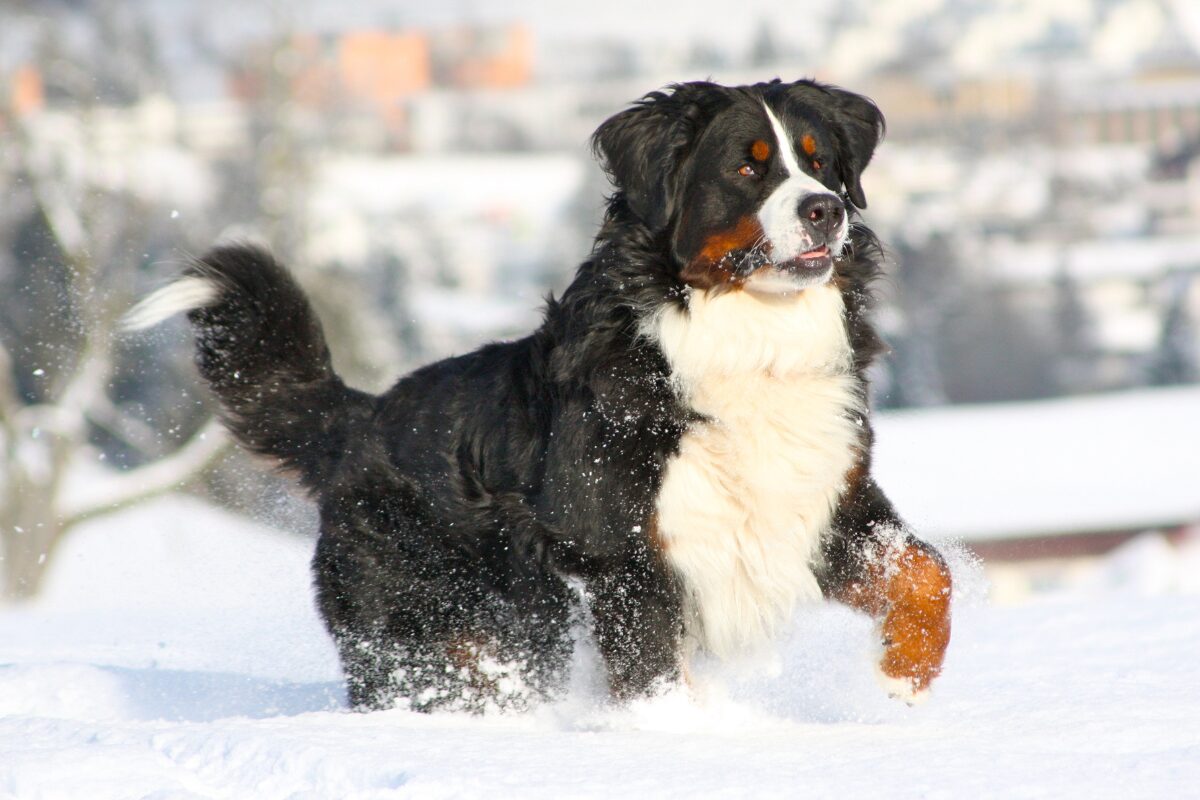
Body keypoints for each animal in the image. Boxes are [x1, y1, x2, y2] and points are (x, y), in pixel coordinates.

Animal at [129, 76, 955, 714]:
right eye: (748, 170)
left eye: (821, 164)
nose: (826, 210)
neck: (746, 339)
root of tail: (361, 415)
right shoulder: (622, 553)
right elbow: (652, 673)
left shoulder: (827, 501)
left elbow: (926, 573)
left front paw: (902, 680)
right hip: (427, 625)